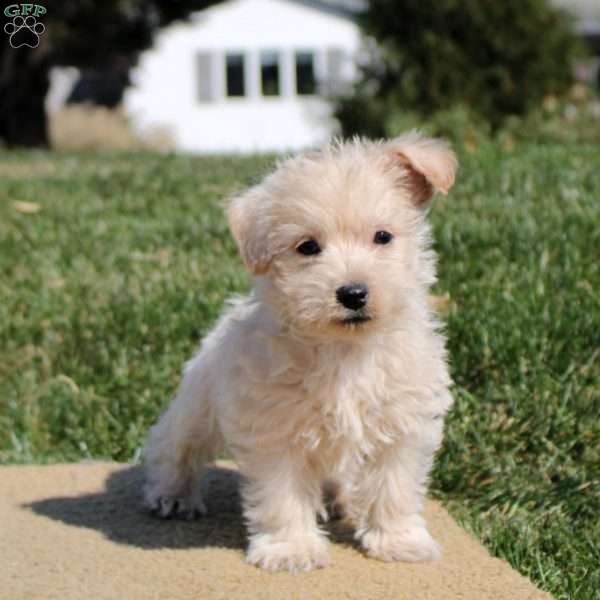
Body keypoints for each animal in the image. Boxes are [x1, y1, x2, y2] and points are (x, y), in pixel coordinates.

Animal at [143, 131, 458, 572]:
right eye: (308, 247)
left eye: (383, 237)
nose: (353, 293)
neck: (345, 350)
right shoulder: (276, 432)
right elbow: (284, 496)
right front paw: (291, 549)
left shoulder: (402, 425)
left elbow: (394, 488)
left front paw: (400, 541)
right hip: (197, 408)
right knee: (175, 446)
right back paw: (170, 495)